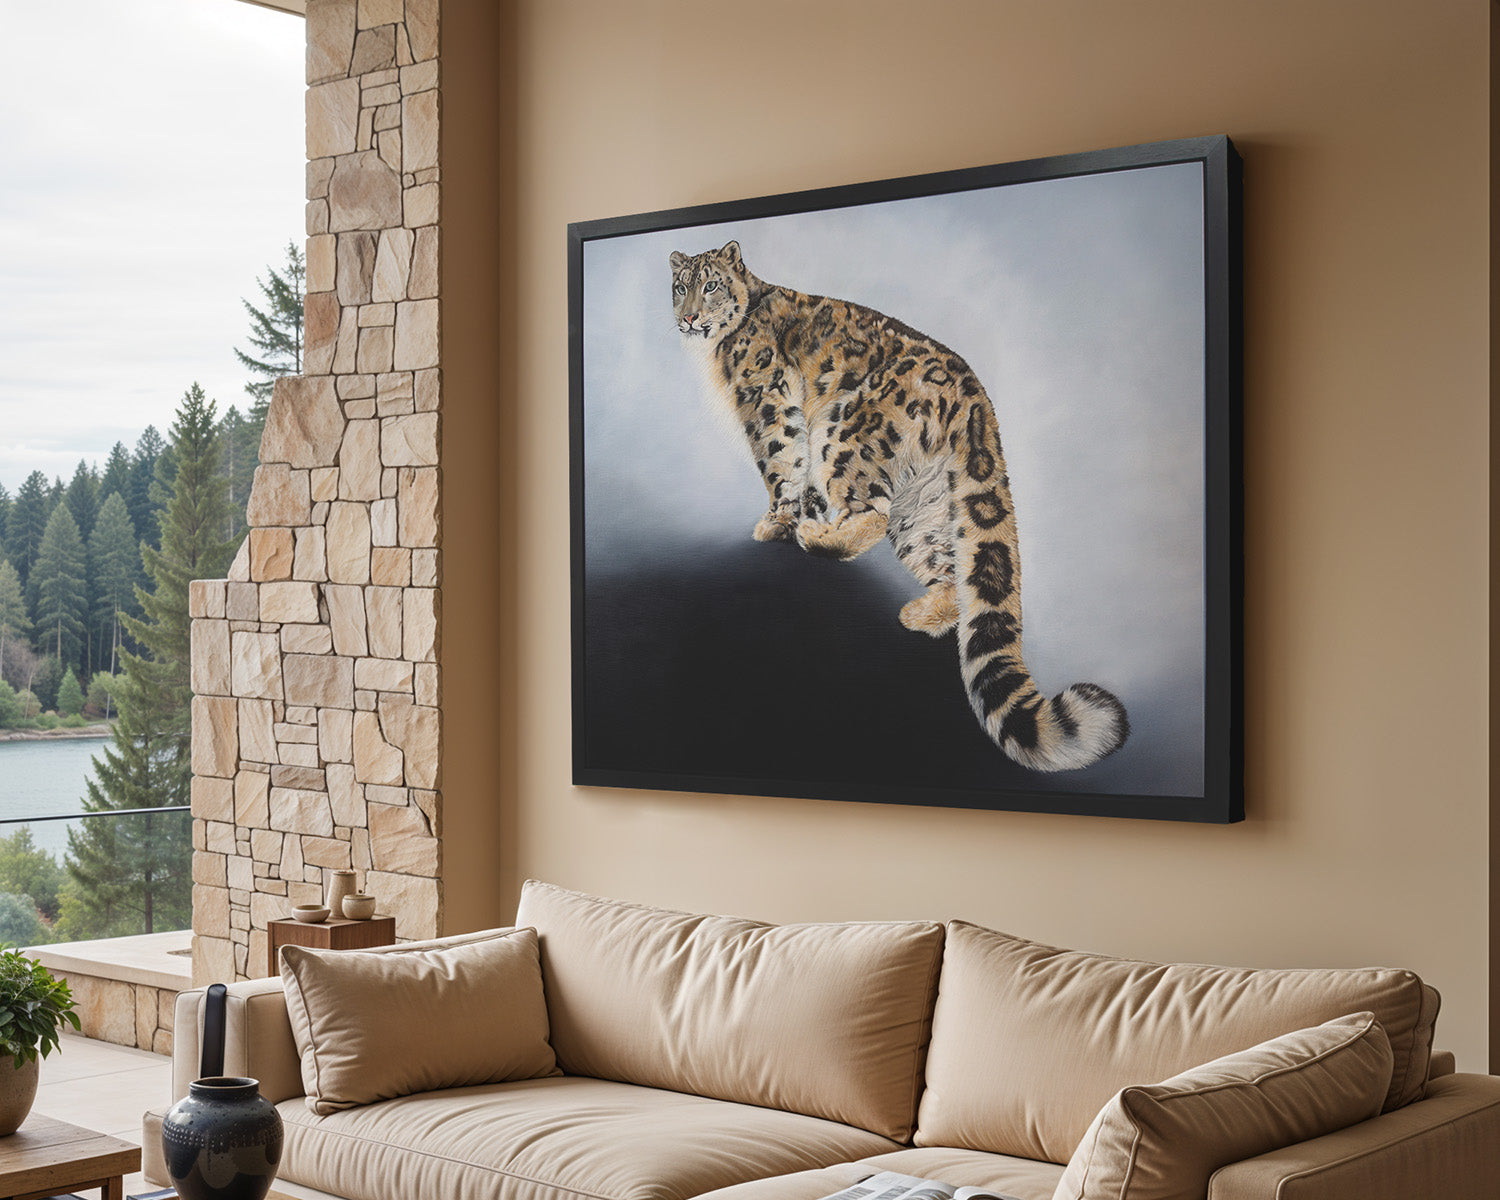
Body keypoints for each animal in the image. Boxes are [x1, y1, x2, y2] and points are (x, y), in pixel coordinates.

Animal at [670, 239, 1128, 772]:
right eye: (680, 286)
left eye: (711, 284)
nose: (689, 316)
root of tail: (976, 397)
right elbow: (803, 484)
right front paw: (799, 516)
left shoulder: (766, 400)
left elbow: (782, 460)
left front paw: (779, 523)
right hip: (924, 507)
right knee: (949, 570)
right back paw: (918, 613)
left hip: (844, 433)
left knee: (870, 512)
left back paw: (821, 539)